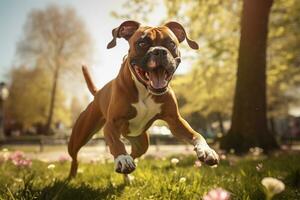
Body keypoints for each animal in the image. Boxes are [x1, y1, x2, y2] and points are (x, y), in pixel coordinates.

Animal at [67, 20, 218, 177]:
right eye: (141, 43)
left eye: (171, 43)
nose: (160, 51)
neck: (145, 90)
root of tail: (98, 93)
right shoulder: (112, 123)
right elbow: (116, 143)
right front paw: (122, 158)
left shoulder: (176, 121)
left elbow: (196, 134)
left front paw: (206, 150)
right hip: (78, 137)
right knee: (75, 157)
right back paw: (72, 176)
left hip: (142, 143)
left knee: (134, 154)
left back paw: (127, 175)